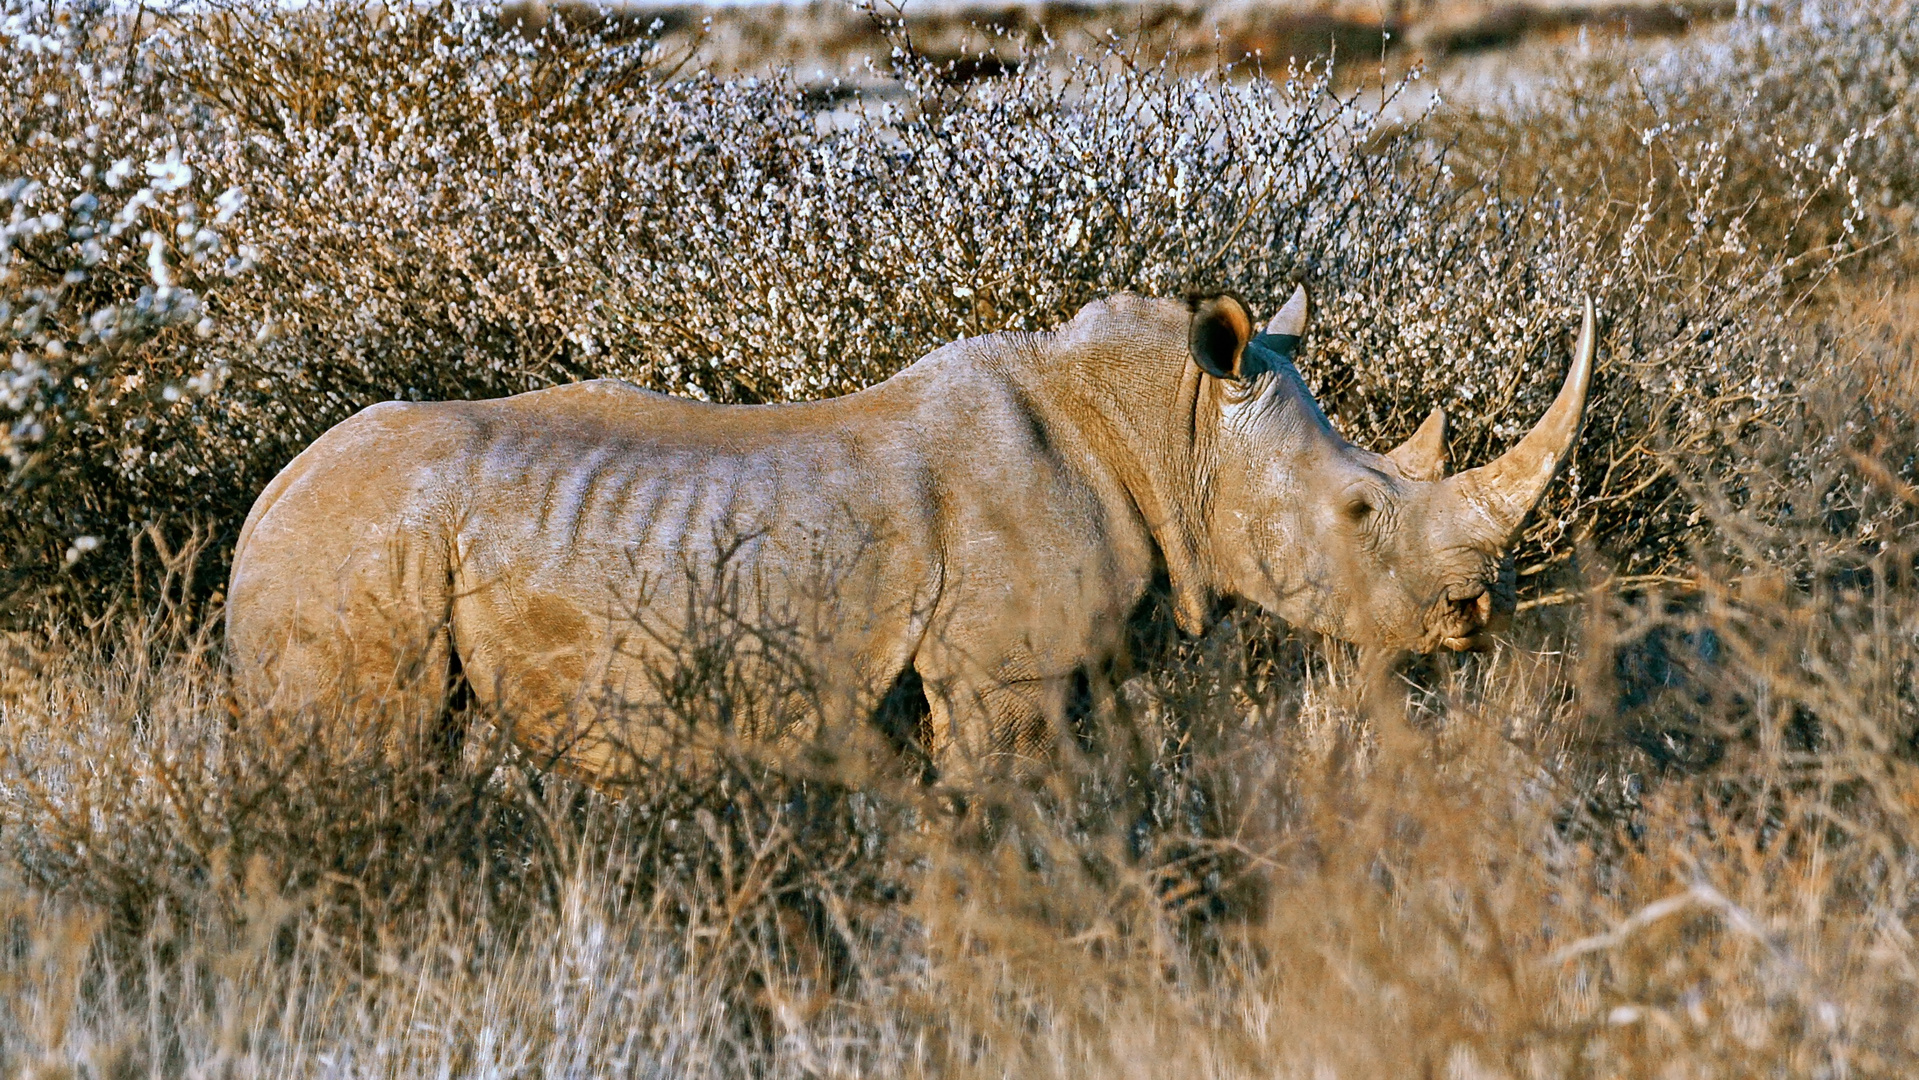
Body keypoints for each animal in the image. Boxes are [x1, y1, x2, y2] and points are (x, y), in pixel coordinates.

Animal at [224, 287, 1596, 778]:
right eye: (1361, 512)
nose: (1474, 615)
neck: (1167, 425)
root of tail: (265, 497)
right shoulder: (1004, 670)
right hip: (356, 549)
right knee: (355, 757)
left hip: (361, 539)